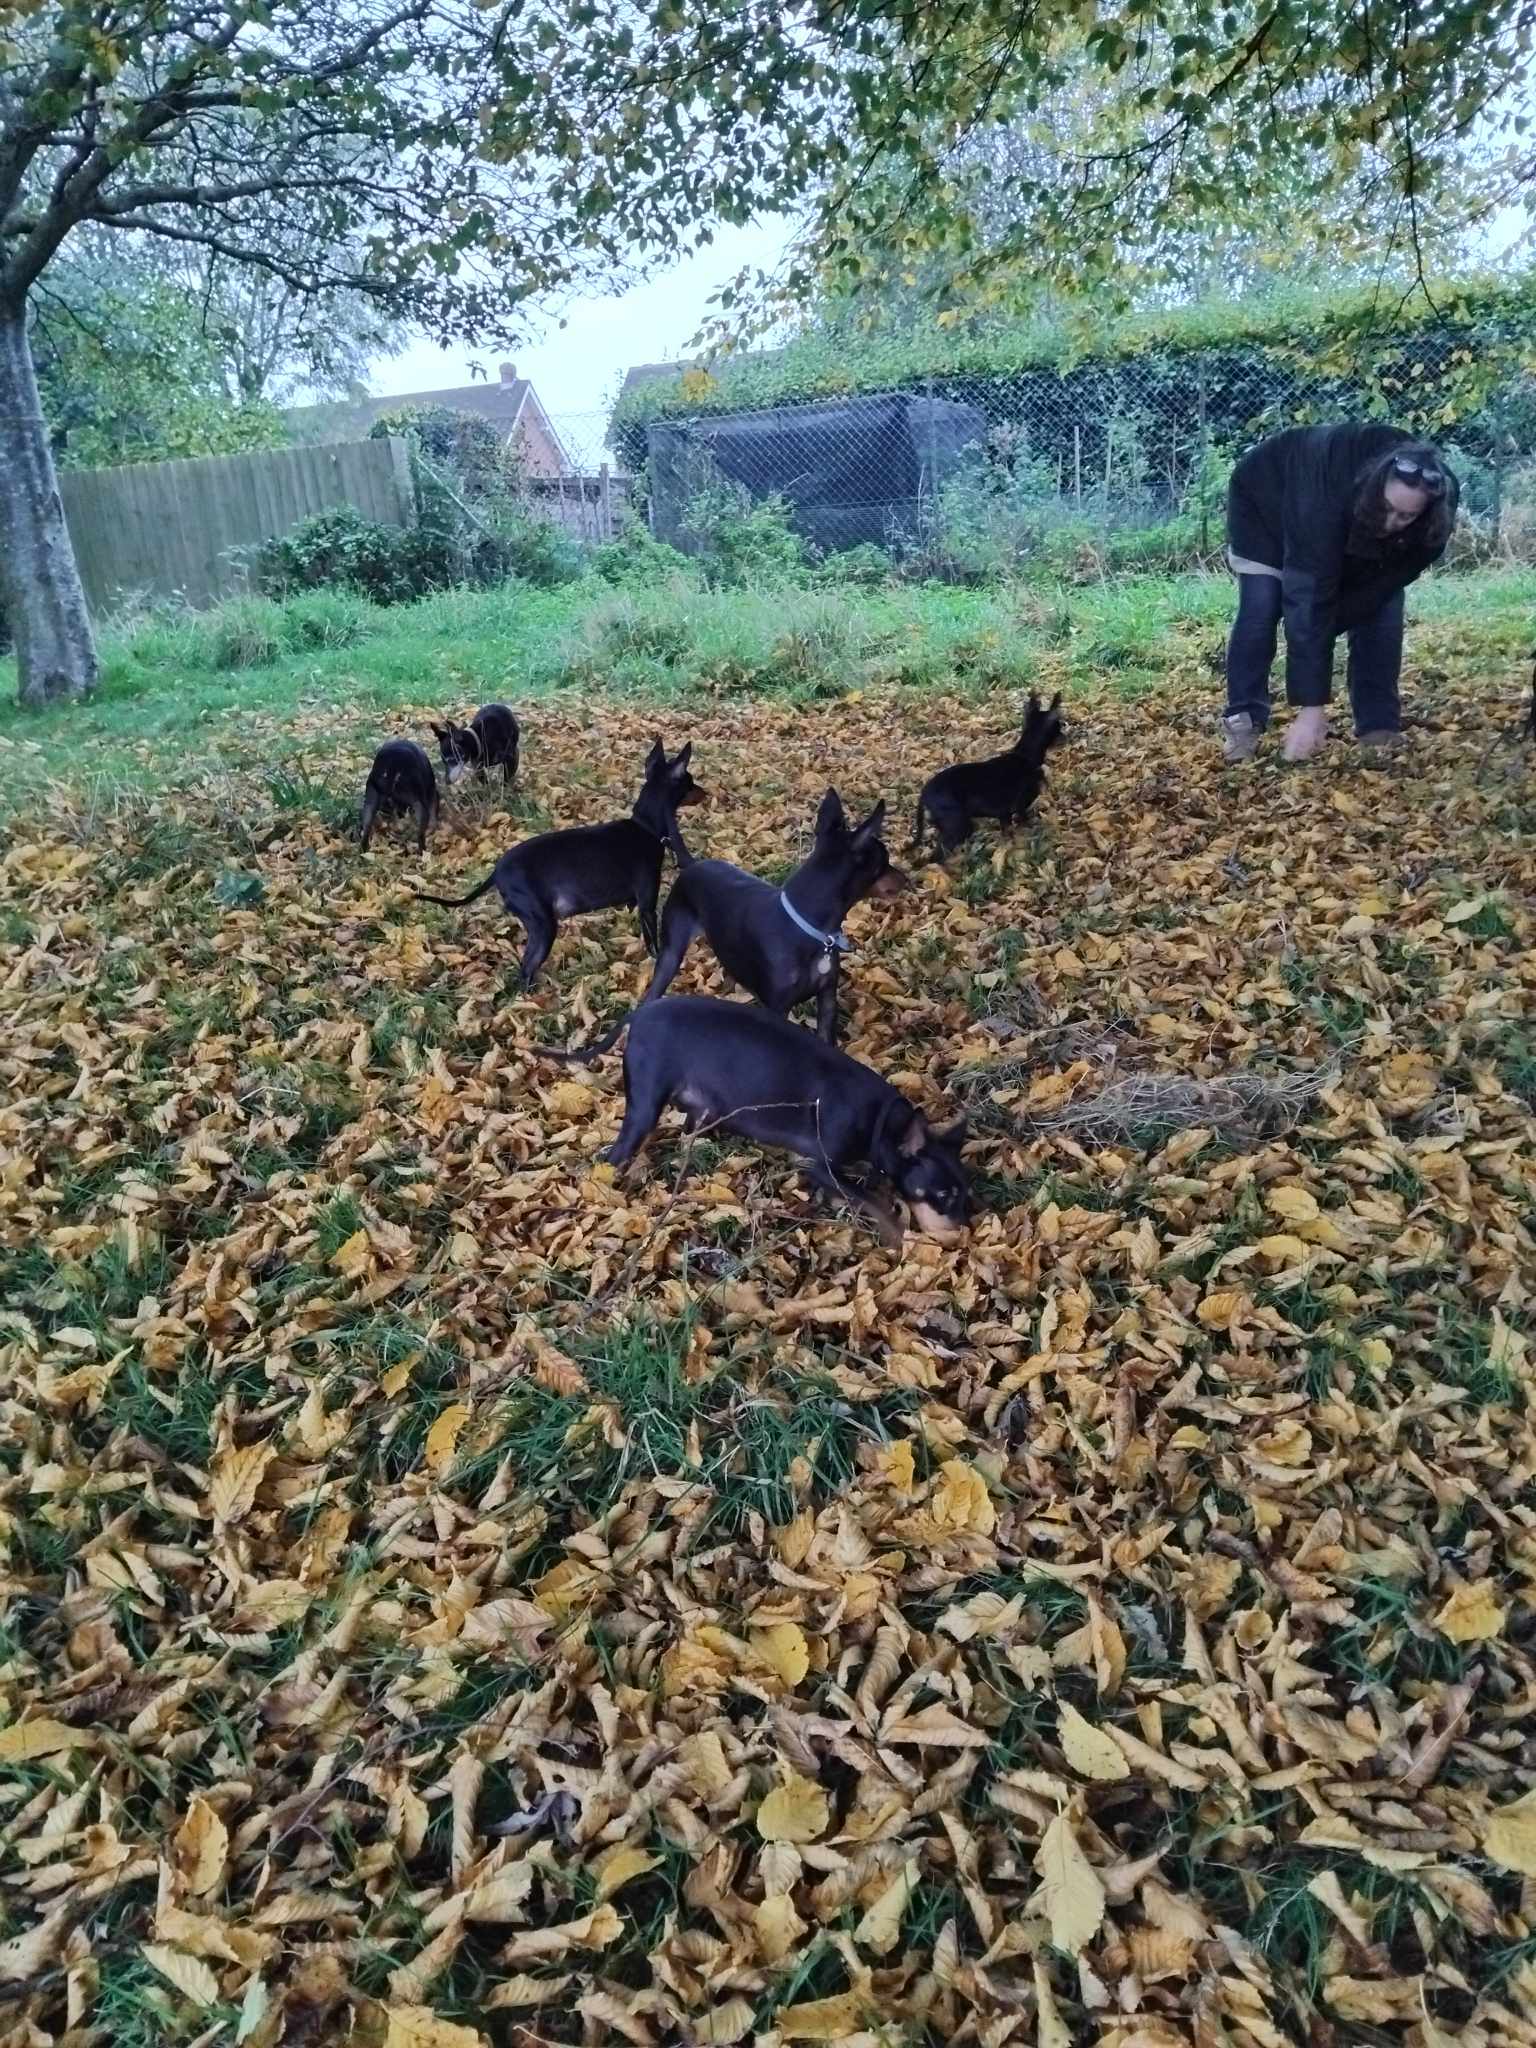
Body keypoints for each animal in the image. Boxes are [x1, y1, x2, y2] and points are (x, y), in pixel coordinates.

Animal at [421, 741, 708, 987]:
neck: (645, 827)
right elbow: (653, 944)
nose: (706, 792)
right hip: (543, 924)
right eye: (691, 782)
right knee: (526, 967)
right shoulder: (647, 906)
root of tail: (497, 872)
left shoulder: (634, 903)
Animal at [561, 790, 909, 1064]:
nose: (908, 877)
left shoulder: (827, 1002)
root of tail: (694, 864)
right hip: (671, 953)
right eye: (885, 861)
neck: (811, 928)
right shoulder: (777, 1008)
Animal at [606, 991, 974, 1245]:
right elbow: (873, 1202)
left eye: (966, 1195)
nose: (962, 1233)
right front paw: (900, 1239)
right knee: (615, 1155)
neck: (881, 1121)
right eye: (943, 1195)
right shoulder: (816, 1163)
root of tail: (638, 1016)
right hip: (645, 1108)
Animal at [909, 692, 1064, 860]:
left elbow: (1007, 835)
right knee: (937, 856)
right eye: (1059, 725)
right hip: (958, 825)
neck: (1025, 756)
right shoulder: (1020, 808)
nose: (1067, 735)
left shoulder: (1004, 815)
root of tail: (924, 794)